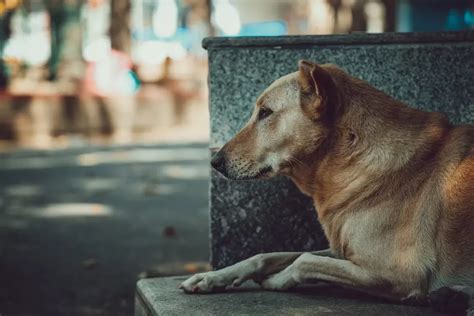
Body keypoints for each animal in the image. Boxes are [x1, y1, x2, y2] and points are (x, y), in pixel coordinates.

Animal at [180, 60, 472, 312]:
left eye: (265, 113)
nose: (214, 161)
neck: (350, 160)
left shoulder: (401, 274)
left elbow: (304, 260)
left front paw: (277, 279)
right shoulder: (341, 250)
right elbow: (266, 255)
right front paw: (211, 277)